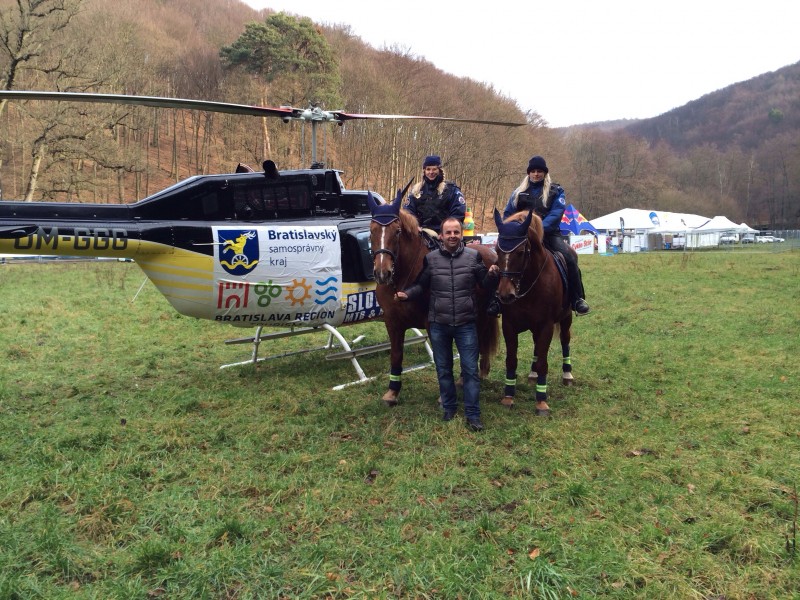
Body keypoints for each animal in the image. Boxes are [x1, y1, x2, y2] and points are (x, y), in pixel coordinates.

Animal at [370, 184, 500, 408]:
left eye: (397, 231)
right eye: (372, 230)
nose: (382, 273)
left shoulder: (434, 324)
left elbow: (443, 357)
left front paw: (444, 396)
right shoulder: (393, 323)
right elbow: (396, 355)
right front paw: (392, 392)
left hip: (483, 316)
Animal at [494, 209, 576, 414]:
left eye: (521, 252)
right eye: (497, 250)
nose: (505, 294)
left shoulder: (546, 325)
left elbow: (543, 362)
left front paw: (541, 401)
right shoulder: (509, 325)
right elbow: (511, 360)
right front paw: (508, 396)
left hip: (566, 318)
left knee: (565, 340)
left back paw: (567, 375)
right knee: (536, 345)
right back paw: (532, 374)